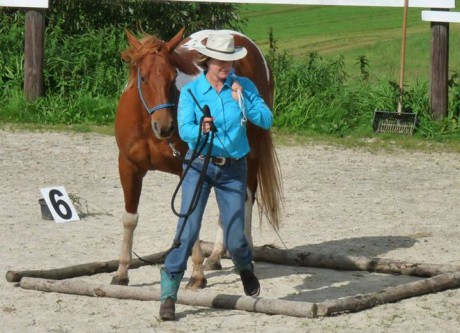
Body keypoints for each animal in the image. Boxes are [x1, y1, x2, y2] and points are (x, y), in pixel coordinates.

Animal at [112, 27, 284, 290]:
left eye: (173, 77)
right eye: (143, 78)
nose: (165, 126)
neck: (146, 126)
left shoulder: (189, 169)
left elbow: (191, 219)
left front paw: (197, 274)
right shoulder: (129, 168)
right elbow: (130, 219)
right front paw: (122, 272)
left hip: (251, 150)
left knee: (246, 197)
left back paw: (245, 253)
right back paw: (215, 256)